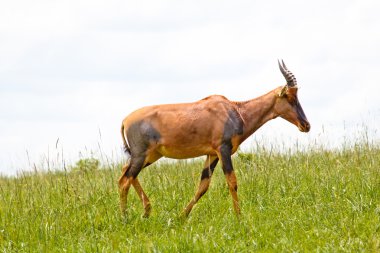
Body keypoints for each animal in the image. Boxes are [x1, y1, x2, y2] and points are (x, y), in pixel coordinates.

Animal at [119, 59, 312, 217]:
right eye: (289, 97)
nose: (306, 125)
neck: (234, 110)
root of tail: (125, 120)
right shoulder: (223, 150)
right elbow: (232, 182)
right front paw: (239, 218)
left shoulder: (212, 154)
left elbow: (203, 186)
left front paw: (181, 217)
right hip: (142, 155)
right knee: (125, 180)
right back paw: (125, 218)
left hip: (152, 155)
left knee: (125, 173)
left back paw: (146, 212)